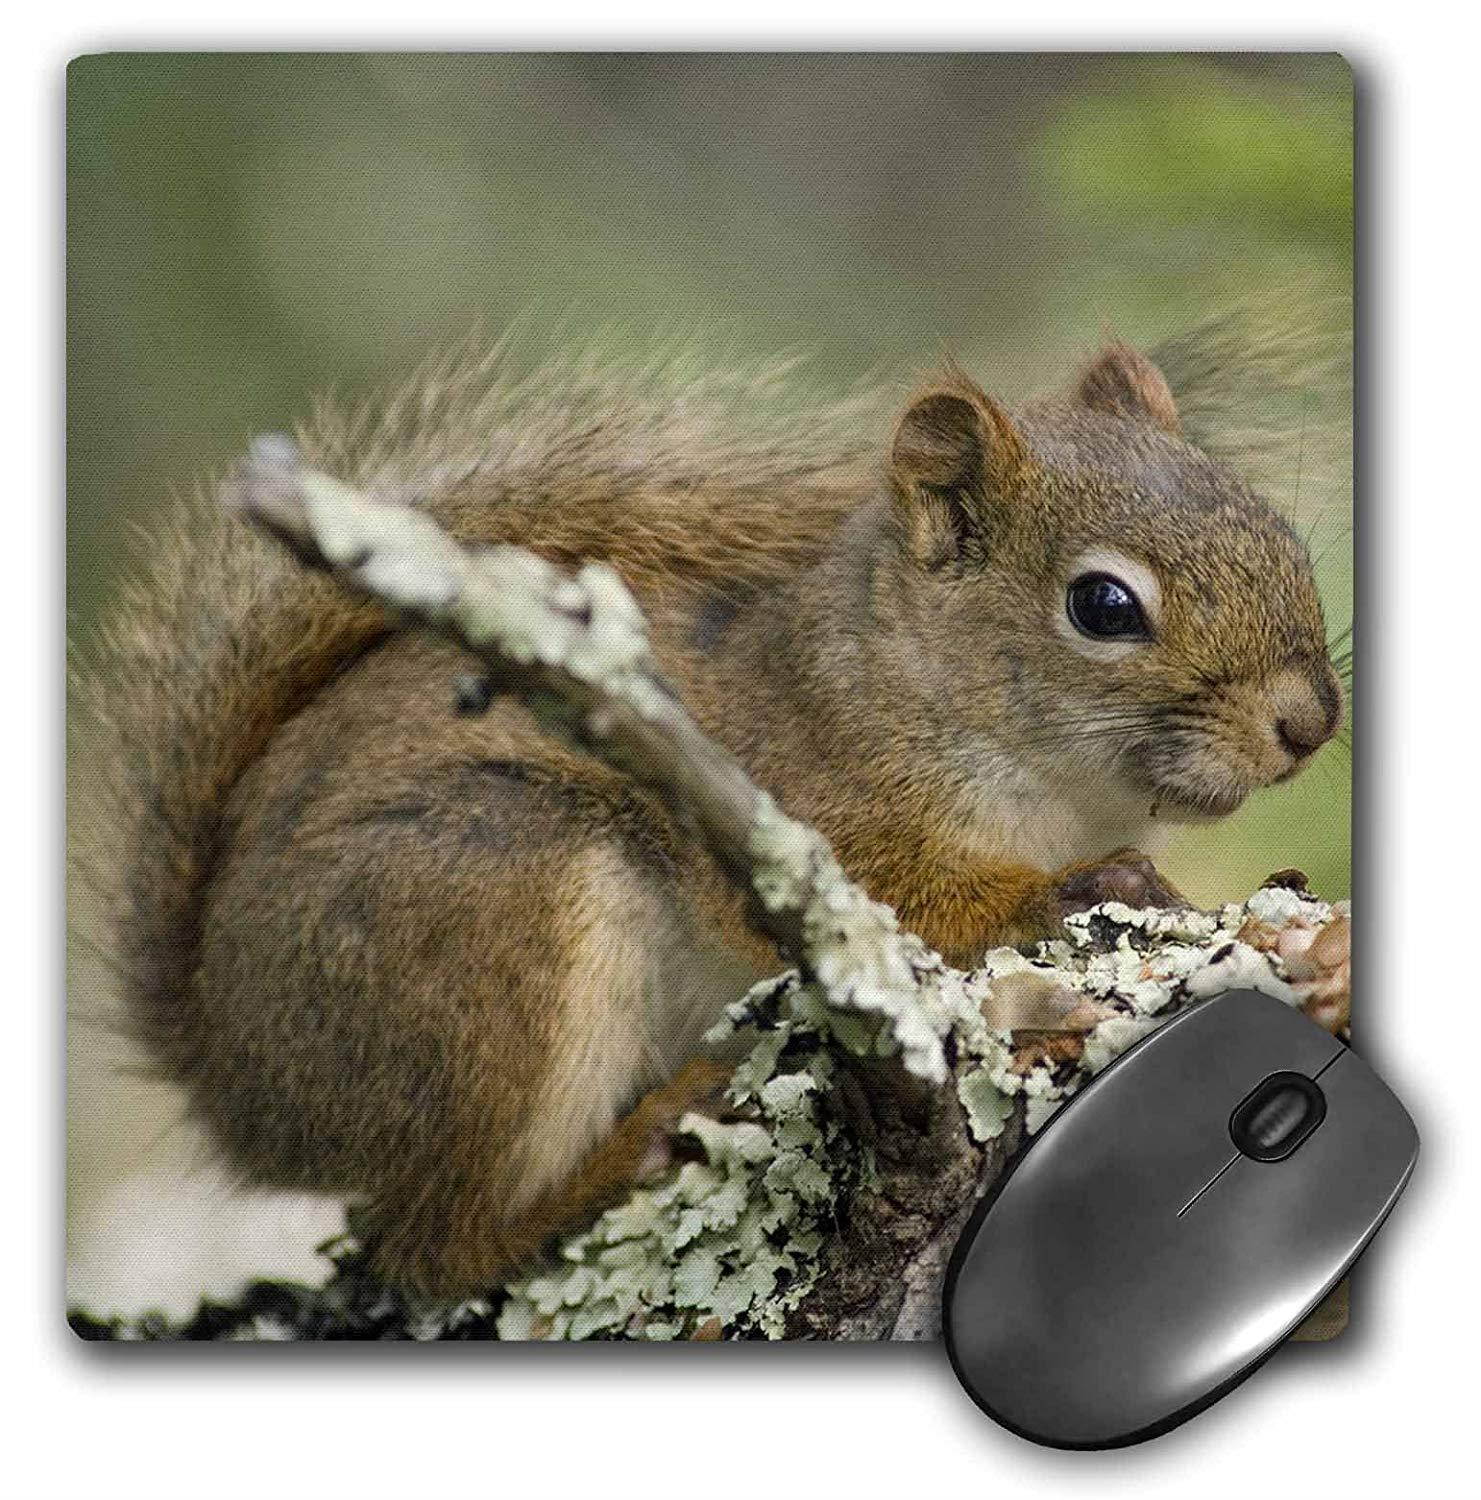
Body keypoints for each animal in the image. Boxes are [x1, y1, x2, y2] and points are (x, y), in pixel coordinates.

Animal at [83, 336, 1343, 1294]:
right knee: (432, 1248)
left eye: (1276, 532)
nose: (1309, 722)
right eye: (1102, 606)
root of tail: (230, 1080)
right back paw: (619, 1155)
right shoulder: (808, 796)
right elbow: (907, 904)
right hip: (487, 909)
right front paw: (1073, 890)